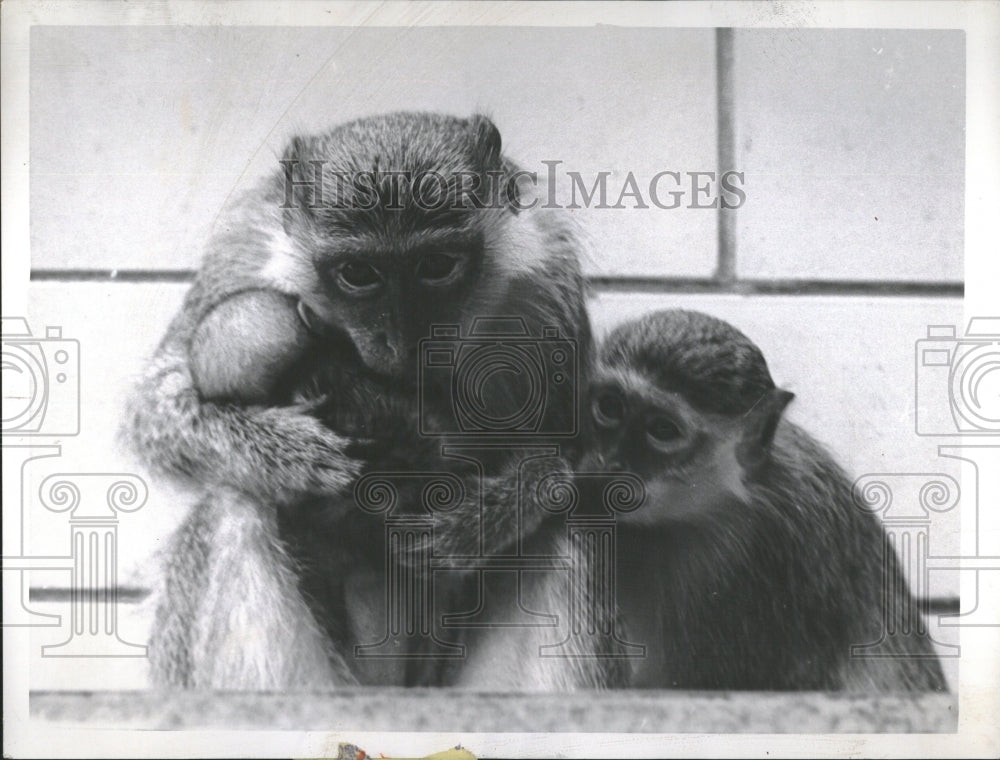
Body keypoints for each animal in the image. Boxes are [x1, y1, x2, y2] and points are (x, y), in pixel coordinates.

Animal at [124, 113, 592, 688]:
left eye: (436, 265)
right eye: (359, 274)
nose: (403, 339)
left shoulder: (549, 279)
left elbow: (575, 447)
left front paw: (480, 523)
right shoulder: (245, 251)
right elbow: (157, 409)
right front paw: (292, 453)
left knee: (566, 529)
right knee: (237, 503)